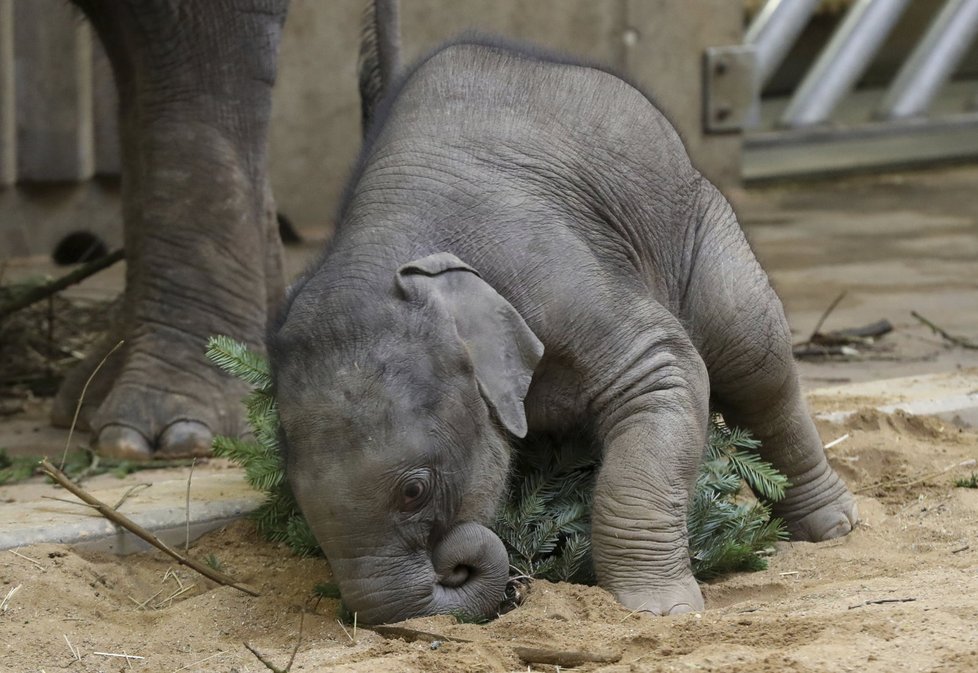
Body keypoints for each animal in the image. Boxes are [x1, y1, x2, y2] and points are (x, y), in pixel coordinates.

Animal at [268, 38, 856, 624]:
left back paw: (833, 527)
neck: (389, 242)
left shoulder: (555, 278)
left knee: (755, 364)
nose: (455, 567)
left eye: (414, 491)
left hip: (701, 223)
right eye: (297, 494)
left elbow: (666, 370)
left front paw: (661, 611)